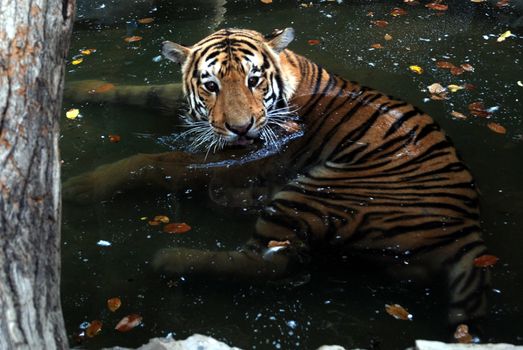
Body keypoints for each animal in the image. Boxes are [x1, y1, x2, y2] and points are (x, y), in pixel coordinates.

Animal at [64, 26, 492, 328]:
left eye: (254, 79)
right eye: (210, 85)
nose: (240, 128)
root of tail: (470, 232)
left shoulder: (249, 154)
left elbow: (156, 162)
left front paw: (81, 186)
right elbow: (145, 91)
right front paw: (76, 87)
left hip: (314, 191)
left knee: (271, 264)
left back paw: (170, 259)